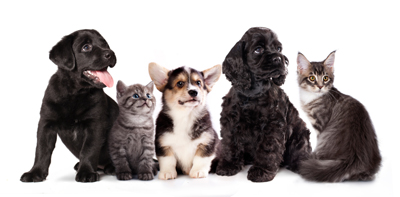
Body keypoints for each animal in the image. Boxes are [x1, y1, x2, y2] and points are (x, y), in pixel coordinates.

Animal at [20, 29, 119, 183]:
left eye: (105, 44)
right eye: (86, 47)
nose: (110, 53)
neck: (74, 93)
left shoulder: (95, 124)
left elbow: (89, 149)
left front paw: (86, 172)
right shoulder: (46, 124)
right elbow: (42, 150)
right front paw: (35, 172)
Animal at [216, 26, 312, 182]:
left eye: (278, 48)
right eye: (258, 49)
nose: (279, 58)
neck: (253, 93)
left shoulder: (272, 126)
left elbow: (268, 148)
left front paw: (261, 171)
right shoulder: (230, 122)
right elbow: (230, 144)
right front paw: (228, 166)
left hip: (300, 134)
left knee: (301, 153)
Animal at [296, 51, 382, 182]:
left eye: (325, 78)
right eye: (312, 78)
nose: (320, 86)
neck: (312, 97)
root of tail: (354, 156)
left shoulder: (320, 125)